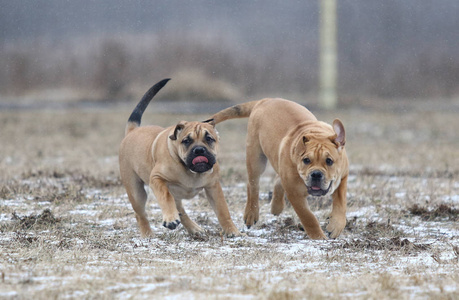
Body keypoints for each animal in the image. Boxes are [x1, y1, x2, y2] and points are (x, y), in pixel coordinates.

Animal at [118, 78, 241, 238]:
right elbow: (165, 197)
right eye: (186, 141)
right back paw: (148, 234)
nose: (199, 150)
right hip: (135, 191)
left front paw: (232, 231)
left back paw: (194, 228)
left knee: (181, 211)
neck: (191, 171)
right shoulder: (157, 179)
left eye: (209, 139)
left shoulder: (213, 186)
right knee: (141, 214)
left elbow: (223, 211)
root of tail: (132, 131)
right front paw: (170, 218)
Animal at [208, 98, 348, 239]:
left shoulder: (343, 176)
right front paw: (318, 237)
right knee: (253, 185)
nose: (316, 174)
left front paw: (335, 225)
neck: (316, 133)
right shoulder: (294, 193)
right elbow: (308, 217)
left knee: (277, 179)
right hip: (256, 158)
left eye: (329, 161)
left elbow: (340, 202)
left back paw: (276, 206)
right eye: (306, 160)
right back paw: (251, 214)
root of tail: (265, 100)